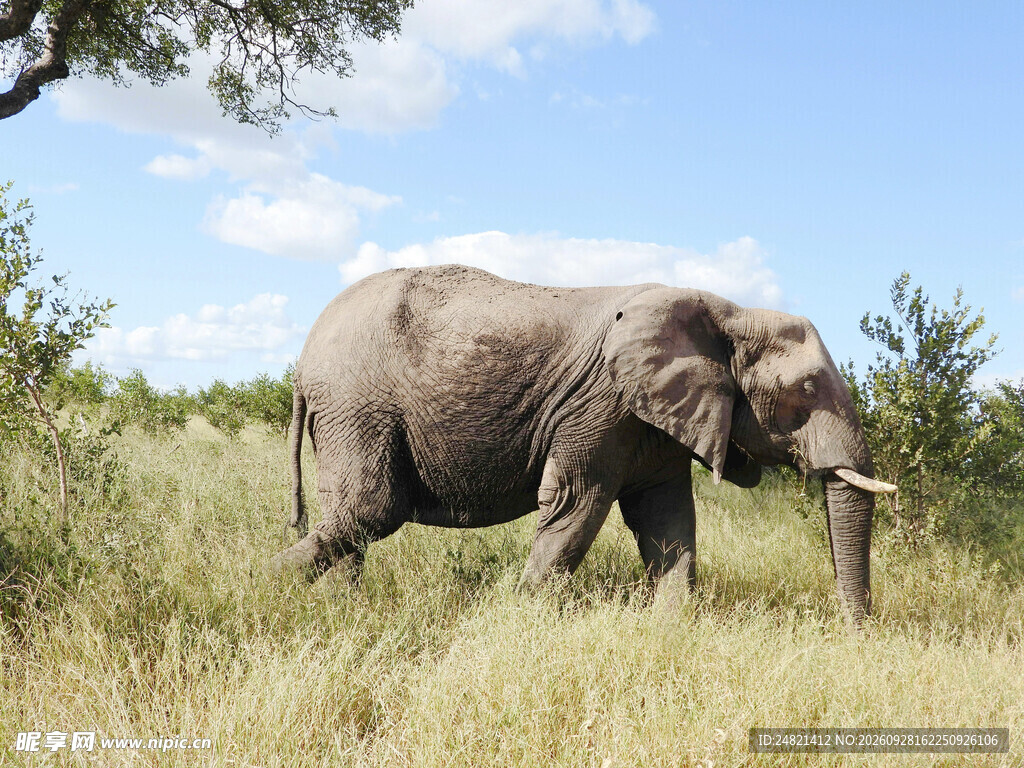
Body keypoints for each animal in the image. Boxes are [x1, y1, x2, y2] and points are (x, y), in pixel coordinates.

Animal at [272, 264, 895, 624]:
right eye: (806, 391)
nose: (854, 635)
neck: (729, 311)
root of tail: (303, 360)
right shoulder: (602, 406)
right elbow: (577, 503)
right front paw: (521, 617)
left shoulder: (654, 422)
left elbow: (667, 518)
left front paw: (669, 629)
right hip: (357, 403)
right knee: (372, 506)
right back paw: (265, 581)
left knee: (353, 514)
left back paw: (343, 605)